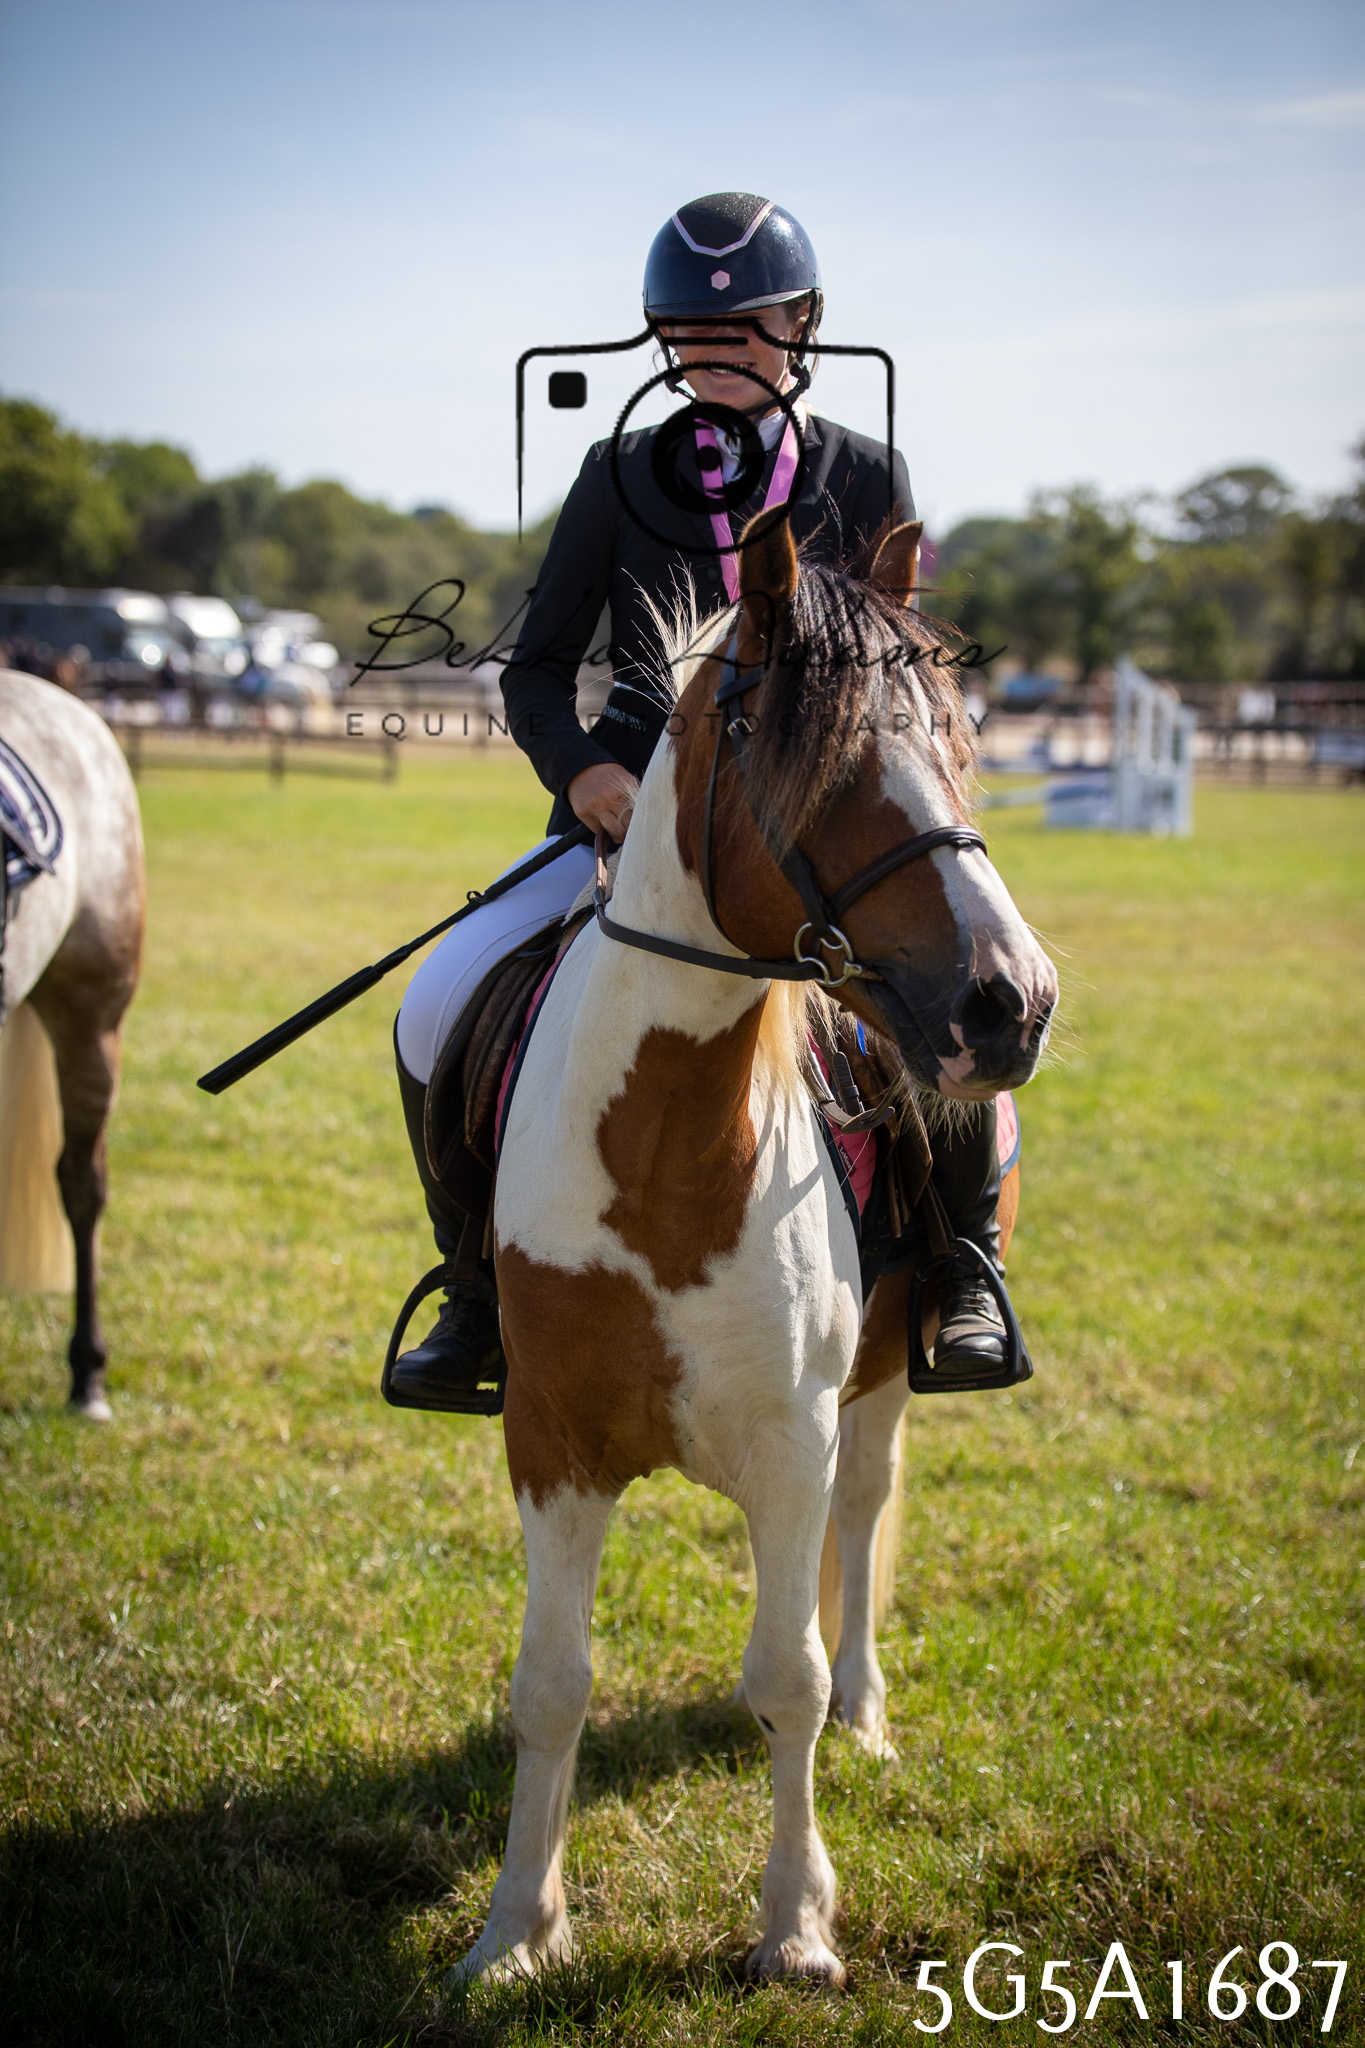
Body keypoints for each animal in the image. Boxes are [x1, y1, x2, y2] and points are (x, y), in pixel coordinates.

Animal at [460, 518, 1058, 1985]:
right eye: (827, 765)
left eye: (960, 742)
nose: (1011, 1002)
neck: (666, 1154)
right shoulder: (550, 1445)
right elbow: (550, 1685)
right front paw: (515, 1930)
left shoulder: (795, 1437)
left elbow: (785, 1673)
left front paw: (794, 1925)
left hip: (885, 1378)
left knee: (862, 1515)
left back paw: (866, 1711)